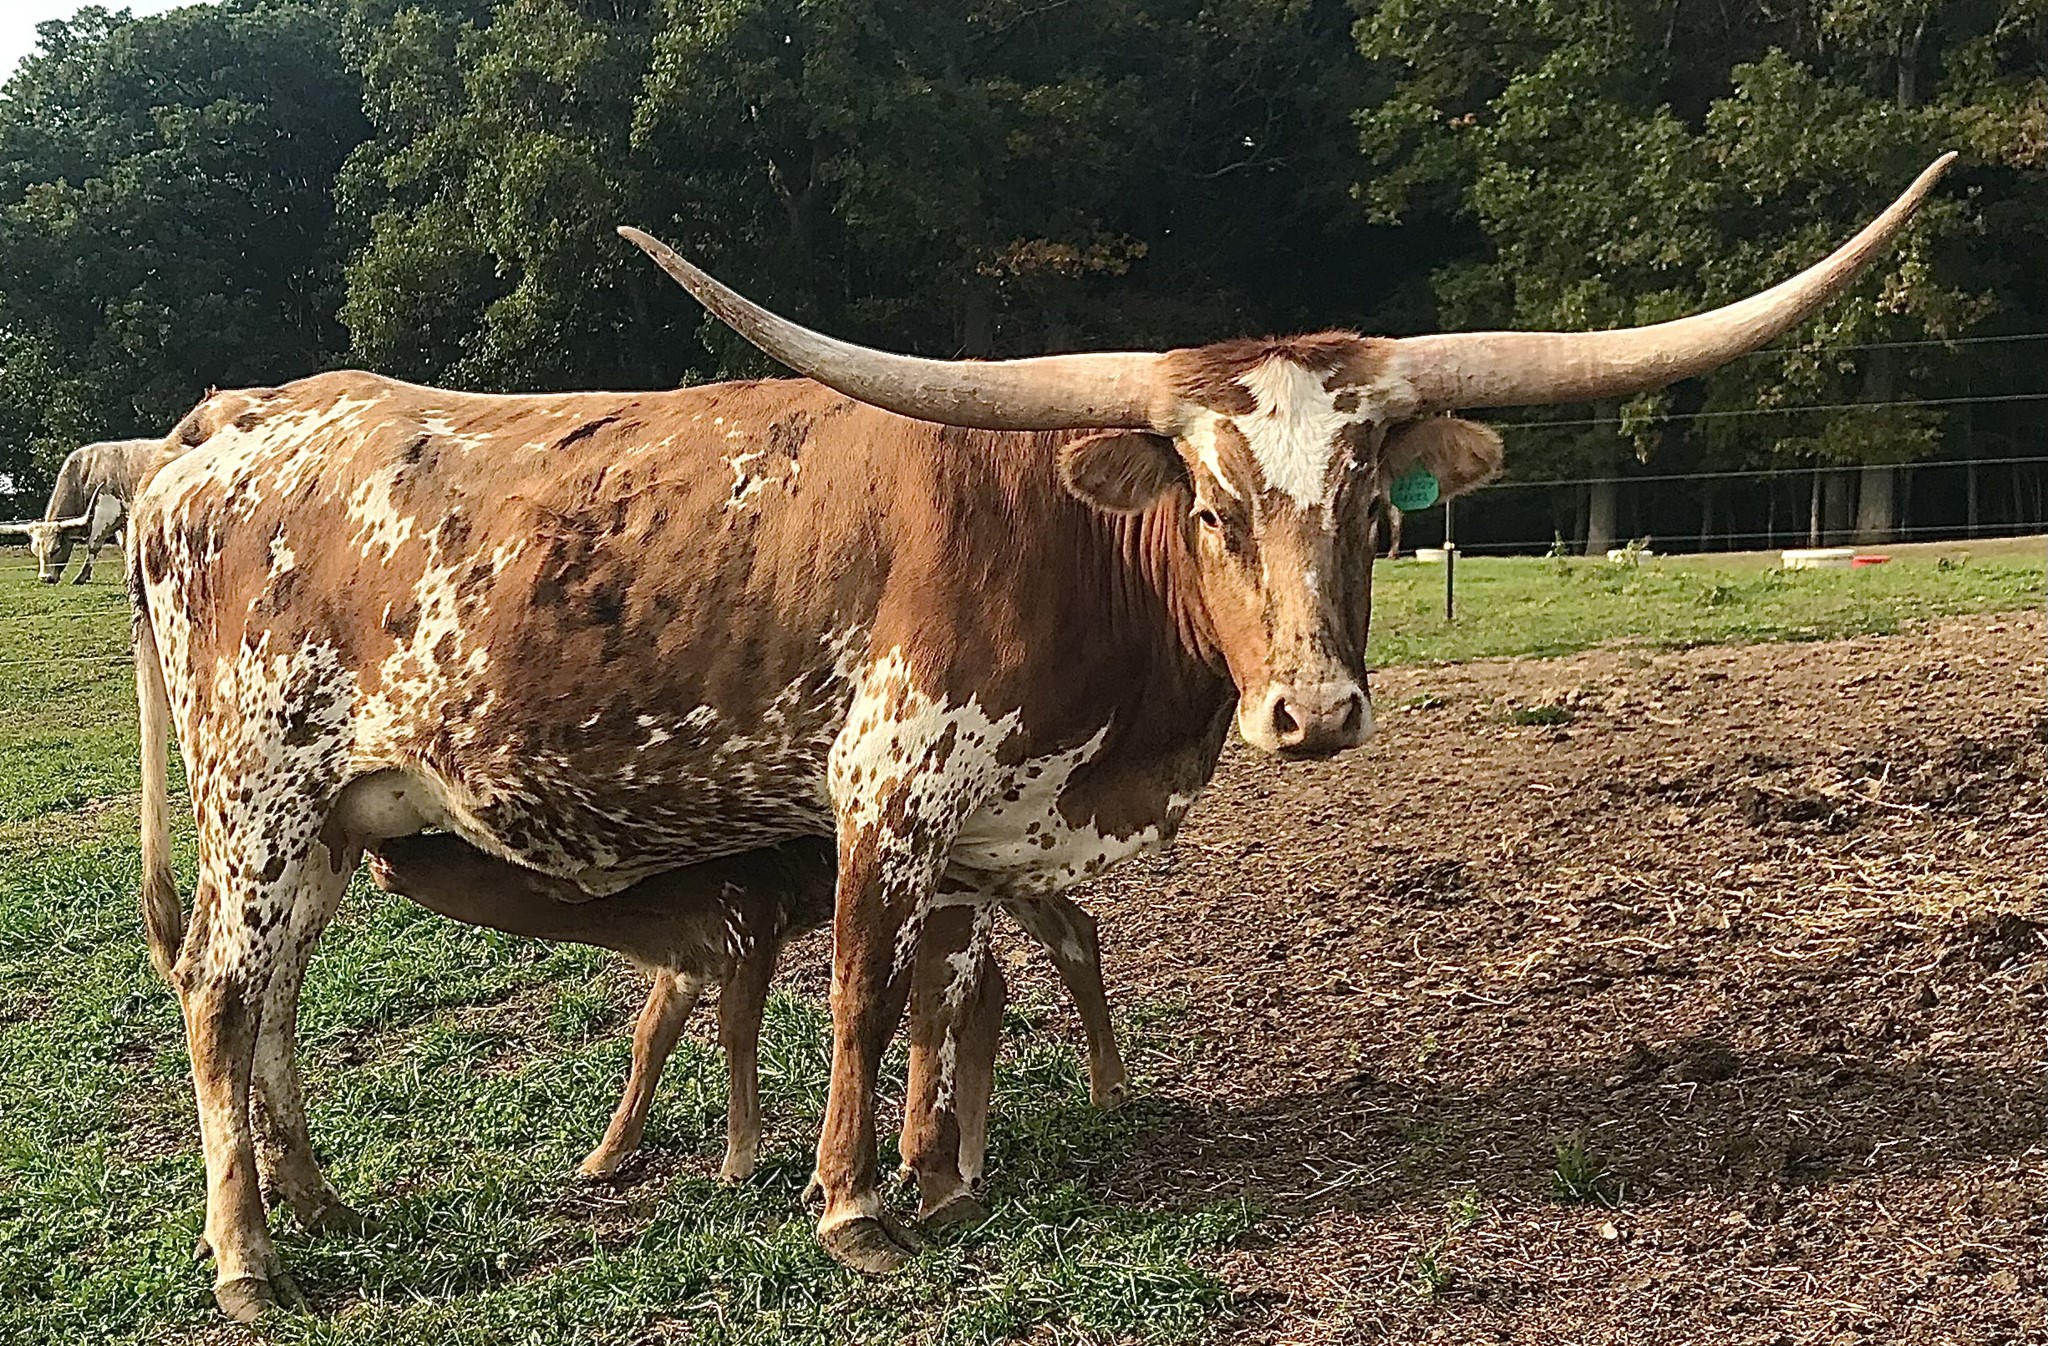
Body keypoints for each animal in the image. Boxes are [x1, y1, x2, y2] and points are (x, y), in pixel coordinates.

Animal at [363, 831, 1126, 1186]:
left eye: (459, 846)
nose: (380, 852)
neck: (645, 916)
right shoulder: (686, 959)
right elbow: (648, 1038)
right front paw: (600, 1157)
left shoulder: (750, 918)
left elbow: (737, 1031)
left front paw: (738, 1159)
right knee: (1058, 940)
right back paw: (1094, 1094)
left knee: (1007, 972)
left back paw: (981, 1150)